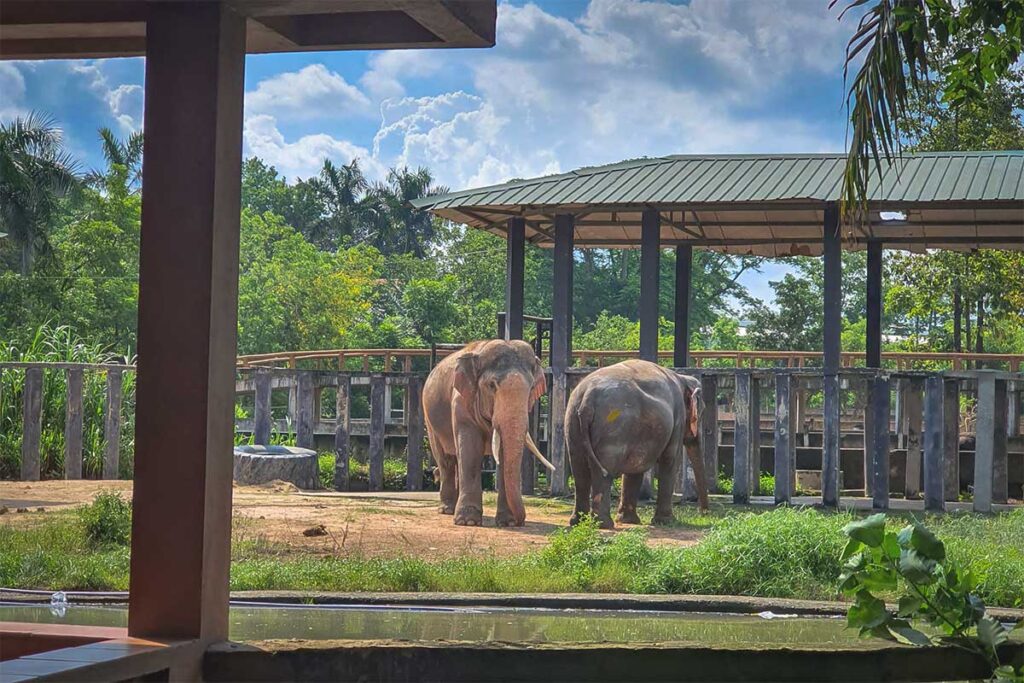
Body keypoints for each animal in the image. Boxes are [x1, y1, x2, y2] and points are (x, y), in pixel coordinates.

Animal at [423, 342, 552, 528]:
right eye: (492, 385)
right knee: (445, 460)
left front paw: (507, 523)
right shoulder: (461, 402)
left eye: (531, 388)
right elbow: (470, 452)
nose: (520, 521)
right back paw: (447, 510)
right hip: (430, 420)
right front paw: (468, 522)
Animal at [565, 360, 708, 532]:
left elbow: (635, 468)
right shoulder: (678, 418)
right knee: (603, 472)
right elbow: (670, 459)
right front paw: (666, 521)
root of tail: (587, 397)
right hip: (613, 430)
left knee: (579, 470)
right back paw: (603, 524)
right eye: (701, 414)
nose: (704, 514)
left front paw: (629, 520)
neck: (682, 378)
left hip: (572, 421)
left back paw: (578, 522)